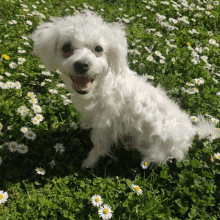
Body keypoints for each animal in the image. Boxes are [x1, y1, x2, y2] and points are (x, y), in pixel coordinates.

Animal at [31, 9, 220, 168]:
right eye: (66, 48)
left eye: (98, 48)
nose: (82, 65)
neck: (101, 86)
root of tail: (192, 132)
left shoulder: (105, 125)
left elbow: (98, 146)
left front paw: (89, 162)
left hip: (155, 150)